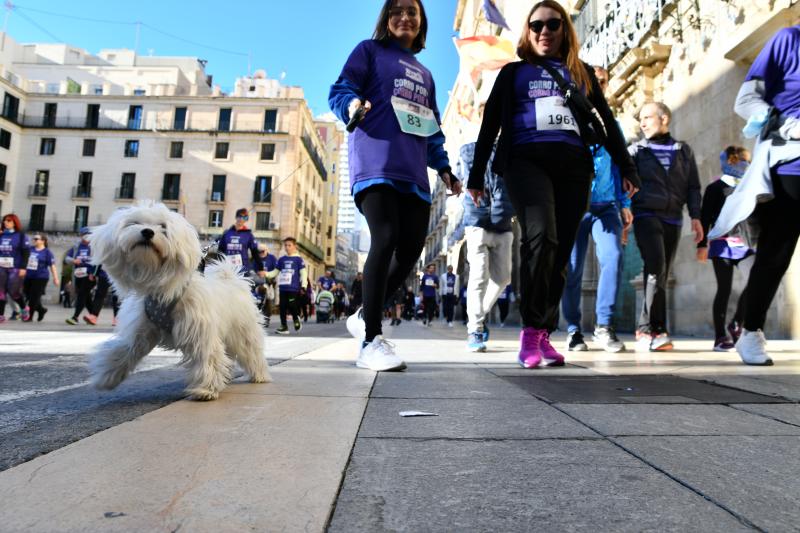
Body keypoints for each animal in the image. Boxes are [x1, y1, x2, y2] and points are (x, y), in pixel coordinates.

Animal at [86, 201, 268, 400]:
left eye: (163, 227)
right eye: (134, 223)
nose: (147, 232)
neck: (161, 287)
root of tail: (232, 279)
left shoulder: (199, 330)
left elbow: (207, 356)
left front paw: (205, 389)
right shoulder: (139, 331)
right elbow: (123, 350)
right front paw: (106, 377)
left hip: (243, 332)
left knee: (251, 352)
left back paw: (260, 375)